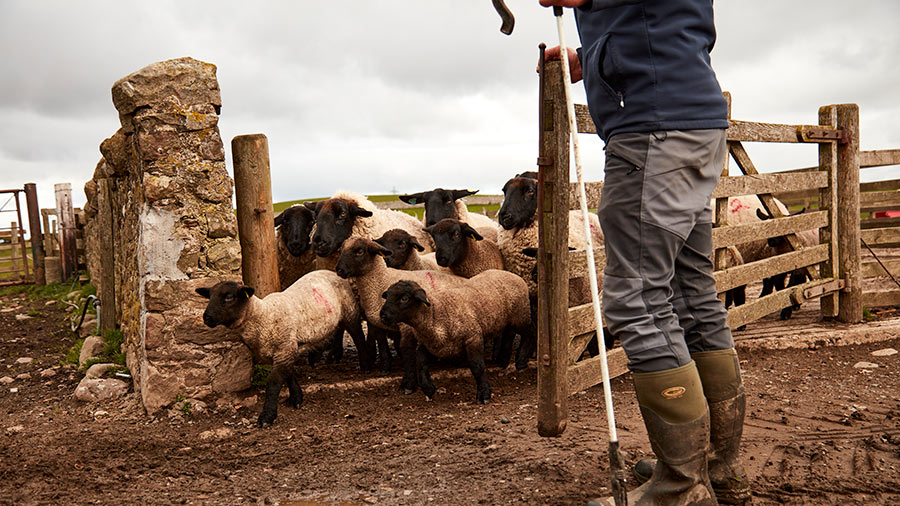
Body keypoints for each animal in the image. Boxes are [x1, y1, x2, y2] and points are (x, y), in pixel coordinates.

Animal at [196, 270, 370, 427]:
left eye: (229, 297)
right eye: (210, 296)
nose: (206, 318)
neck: (263, 317)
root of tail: (331, 272)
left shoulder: (284, 348)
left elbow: (273, 383)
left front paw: (267, 417)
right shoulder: (287, 348)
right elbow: (289, 374)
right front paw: (297, 398)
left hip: (350, 310)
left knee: (358, 336)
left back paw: (365, 364)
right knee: (338, 330)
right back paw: (333, 355)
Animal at [334, 237, 469, 373]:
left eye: (360, 251)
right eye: (341, 249)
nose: (339, 270)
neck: (380, 280)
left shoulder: (404, 326)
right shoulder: (378, 323)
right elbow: (382, 346)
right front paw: (385, 368)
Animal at [378, 271, 533, 404]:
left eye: (404, 298)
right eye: (388, 296)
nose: (382, 316)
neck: (436, 314)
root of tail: (512, 274)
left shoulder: (473, 338)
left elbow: (477, 367)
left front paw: (484, 395)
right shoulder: (430, 345)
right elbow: (421, 365)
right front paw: (428, 389)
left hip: (520, 315)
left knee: (529, 332)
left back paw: (521, 362)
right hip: (507, 319)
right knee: (509, 334)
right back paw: (503, 360)